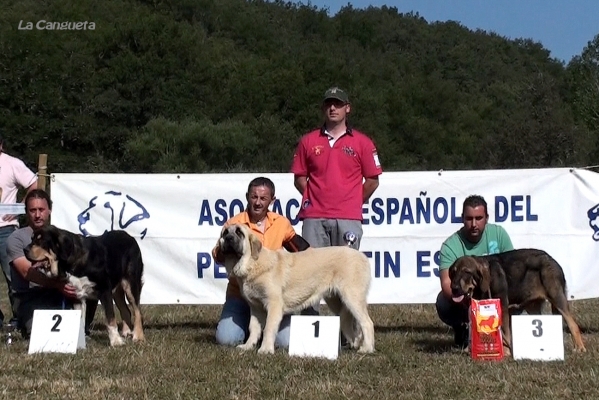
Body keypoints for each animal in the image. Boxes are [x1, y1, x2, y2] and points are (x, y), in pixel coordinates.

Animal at [450, 248, 584, 354]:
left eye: (467, 272)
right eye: (453, 272)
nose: (454, 288)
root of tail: (553, 260)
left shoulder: (503, 307)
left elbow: (504, 330)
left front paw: (506, 352)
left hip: (557, 297)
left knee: (573, 325)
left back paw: (579, 348)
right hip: (532, 307)